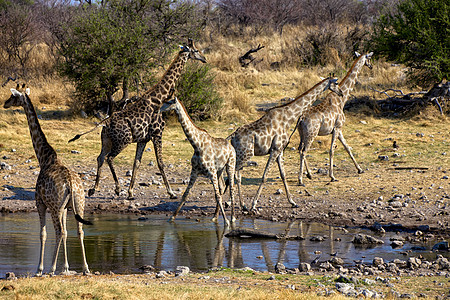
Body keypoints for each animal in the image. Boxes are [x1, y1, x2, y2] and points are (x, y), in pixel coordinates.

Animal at [3, 84, 91, 276]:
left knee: (59, 231)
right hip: (79, 203)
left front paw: (40, 268)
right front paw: (66, 268)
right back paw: (86, 268)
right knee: (79, 231)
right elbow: (67, 233)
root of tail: (71, 183)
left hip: (54, 206)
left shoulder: (40, 202)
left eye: (13, 96)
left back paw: (51, 269)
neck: (44, 158)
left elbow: (43, 234)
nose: (4, 103)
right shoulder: (64, 208)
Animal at [71, 38, 207, 200]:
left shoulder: (143, 139)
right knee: (109, 158)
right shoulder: (157, 134)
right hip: (123, 141)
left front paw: (130, 192)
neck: (159, 98)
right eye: (196, 50)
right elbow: (160, 163)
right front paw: (171, 192)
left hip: (107, 140)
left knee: (100, 157)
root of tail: (105, 123)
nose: (204, 59)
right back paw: (117, 188)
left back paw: (93, 189)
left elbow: (137, 163)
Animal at [161, 97, 237, 226]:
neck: (196, 145)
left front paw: (226, 221)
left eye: (168, 102)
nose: (159, 109)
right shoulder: (195, 171)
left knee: (231, 189)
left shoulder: (211, 171)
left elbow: (217, 196)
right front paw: (172, 217)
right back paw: (215, 217)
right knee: (222, 187)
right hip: (219, 170)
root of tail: (231, 146)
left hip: (230, 165)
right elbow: (185, 195)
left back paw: (232, 218)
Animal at [229, 77, 344, 211]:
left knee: (236, 176)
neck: (288, 119)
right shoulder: (275, 149)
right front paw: (254, 204)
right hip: (245, 154)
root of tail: (232, 137)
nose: (341, 93)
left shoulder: (280, 150)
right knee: (232, 174)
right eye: (336, 83)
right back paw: (233, 204)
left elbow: (283, 175)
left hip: (241, 155)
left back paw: (242, 205)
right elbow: (264, 176)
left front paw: (293, 202)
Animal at [298, 52, 374, 186]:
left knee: (299, 150)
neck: (341, 100)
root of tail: (301, 119)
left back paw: (309, 174)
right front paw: (332, 176)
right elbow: (332, 150)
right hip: (311, 134)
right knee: (303, 151)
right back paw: (301, 179)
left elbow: (347, 147)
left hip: (302, 134)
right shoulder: (337, 127)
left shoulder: (338, 129)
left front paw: (360, 169)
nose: (371, 66)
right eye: (369, 58)